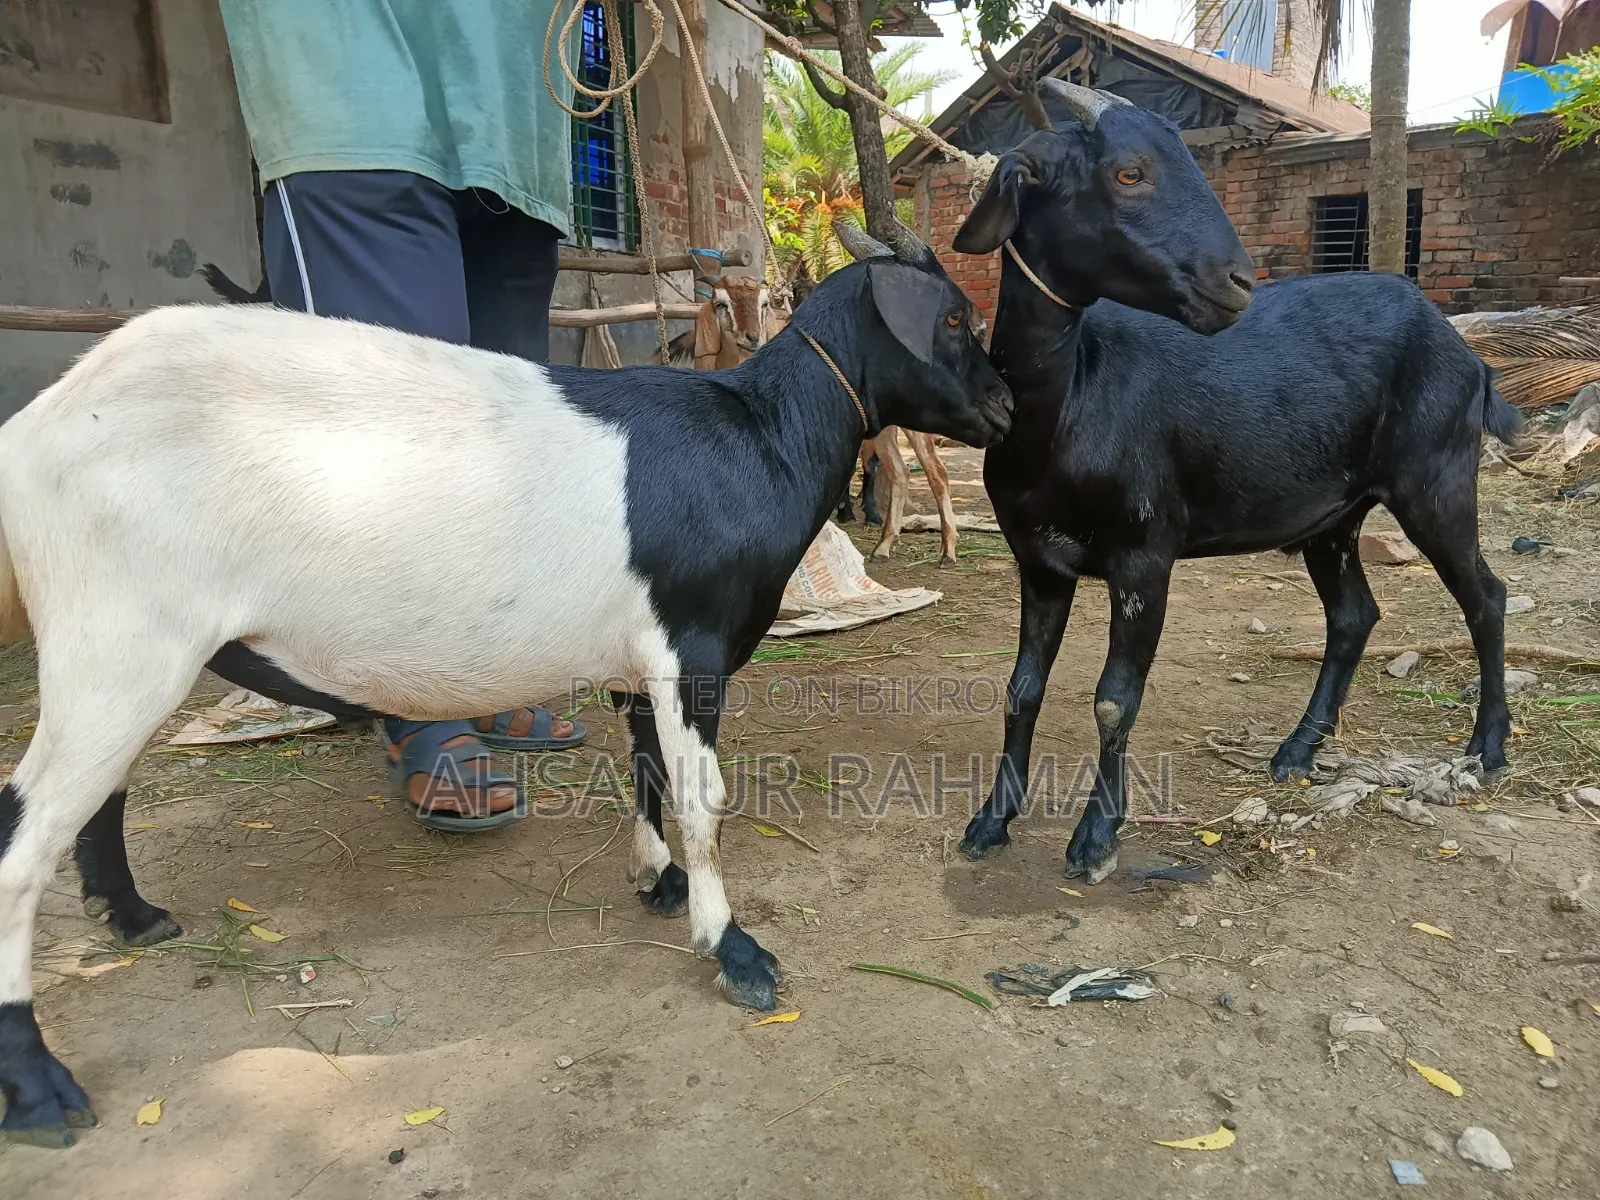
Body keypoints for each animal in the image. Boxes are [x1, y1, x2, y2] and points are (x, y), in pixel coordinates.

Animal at [0, 224, 1010, 1146]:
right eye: (954, 319)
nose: (1005, 406)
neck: (761, 431)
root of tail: (34, 427)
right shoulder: (689, 647)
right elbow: (702, 799)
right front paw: (733, 950)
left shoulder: (640, 658)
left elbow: (645, 769)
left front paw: (656, 882)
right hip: (116, 636)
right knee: (25, 838)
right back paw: (39, 1085)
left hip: (128, 651)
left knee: (99, 792)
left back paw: (132, 917)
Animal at [951, 83, 1519, 886]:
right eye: (1129, 173)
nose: (1238, 284)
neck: (1071, 399)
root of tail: (1468, 354)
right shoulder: (1039, 561)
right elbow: (1020, 689)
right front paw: (991, 820)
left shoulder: (1144, 556)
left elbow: (1113, 701)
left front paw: (1096, 839)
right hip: (1333, 516)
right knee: (1355, 615)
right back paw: (1298, 750)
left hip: (1435, 479)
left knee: (1486, 597)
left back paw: (1488, 748)